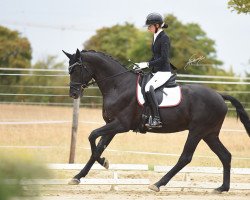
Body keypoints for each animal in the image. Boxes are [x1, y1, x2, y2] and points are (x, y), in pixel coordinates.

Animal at [63, 48, 250, 192]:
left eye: (76, 70)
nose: (73, 94)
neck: (118, 85)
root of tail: (219, 95)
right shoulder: (112, 125)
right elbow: (98, 147)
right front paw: (80, 176)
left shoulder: (120, 125)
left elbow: (92, 136)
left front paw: (102, 163)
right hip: (209, 134)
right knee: (225, 156)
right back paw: (222, 188)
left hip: (197, 131)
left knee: (185, 158)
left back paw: (157, 184)